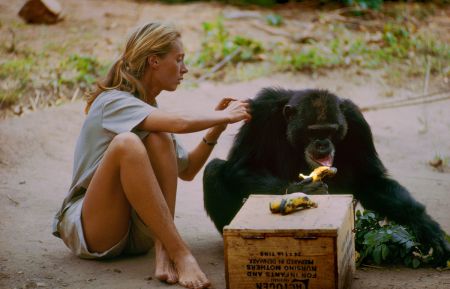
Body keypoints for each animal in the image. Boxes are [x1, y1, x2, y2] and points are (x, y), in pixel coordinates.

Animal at [203, 87, 450, 266]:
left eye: (330, 130)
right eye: (313, 131)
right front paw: (299, 190)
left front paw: (426, 227)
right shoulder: (260, 113)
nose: (322, 143)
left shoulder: (356, 120)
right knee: (214, 169)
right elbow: (241, 166)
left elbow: (370, 179)